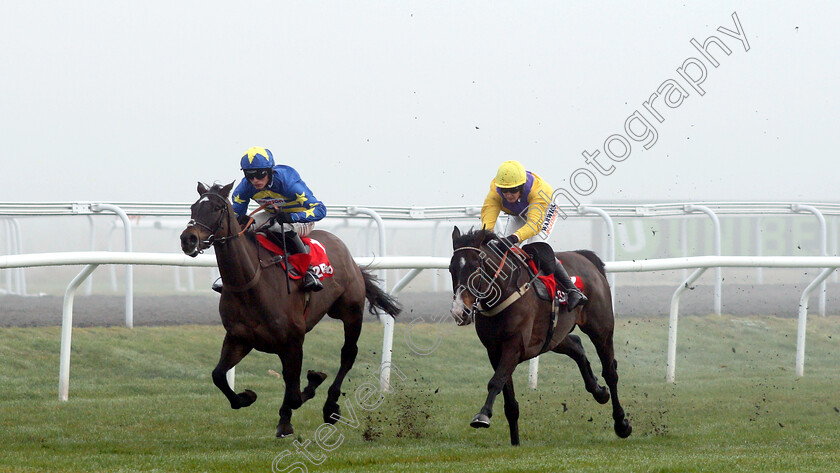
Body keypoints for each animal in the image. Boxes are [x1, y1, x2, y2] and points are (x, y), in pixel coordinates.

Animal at [180, 180, 400, 436]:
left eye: (216, 208)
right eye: (193, 208)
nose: (188, 239)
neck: (252, 282)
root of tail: (346, 252)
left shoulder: (292, 341)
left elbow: (295, 394)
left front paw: (308, 388)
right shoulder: (239, 338)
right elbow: (218, 376)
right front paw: (246, 397)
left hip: (351, 311)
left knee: (348, 353)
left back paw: (331, 406)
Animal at [450, 227, 628, 444]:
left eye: (476, 267)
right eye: (451, 269)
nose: (460, 311)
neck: (504, 292)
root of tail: (585, 257)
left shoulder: (514, 346)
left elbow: (496, 381)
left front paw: (482, 415)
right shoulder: (494, 350)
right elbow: (509, 400)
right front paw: (515, 443)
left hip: (601, 329)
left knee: (610, 372)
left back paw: (621, 423)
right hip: (553, 337)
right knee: (577, 346)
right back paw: (599, 391)